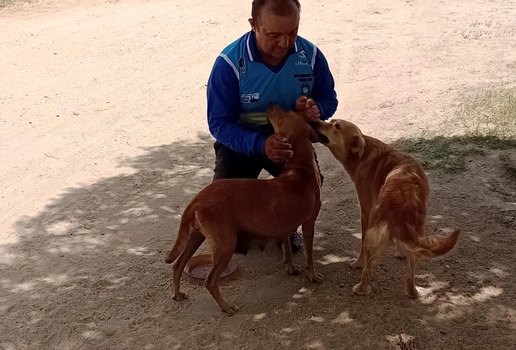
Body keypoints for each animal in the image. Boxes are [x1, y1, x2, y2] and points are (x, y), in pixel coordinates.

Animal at [165, 104, 322, 314]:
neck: (301, 169)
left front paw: (290, 268)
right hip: (226, 245)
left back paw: (177, 294)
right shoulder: (309, 224)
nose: (270, 104)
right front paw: (313, 276)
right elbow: (310, 257)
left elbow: (288, 249)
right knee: (210, 281)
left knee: (177, 266)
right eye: (281, 118)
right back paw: (226, 307)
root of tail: (197, 198)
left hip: (195, 237)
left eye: (285, 115)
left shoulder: (286, 226)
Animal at [314, 119, 460, 298]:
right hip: (419, 232)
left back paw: (361, 288)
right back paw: (413, 293)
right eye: (331, 121)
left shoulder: (365, 212)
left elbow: (361, 248)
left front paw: (357, 263)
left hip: (372, 234)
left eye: (337, 126)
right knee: (410, 272)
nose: (315, 121)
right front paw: (400, 252)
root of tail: (402, 201)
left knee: (368, 269)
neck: (364, 154)